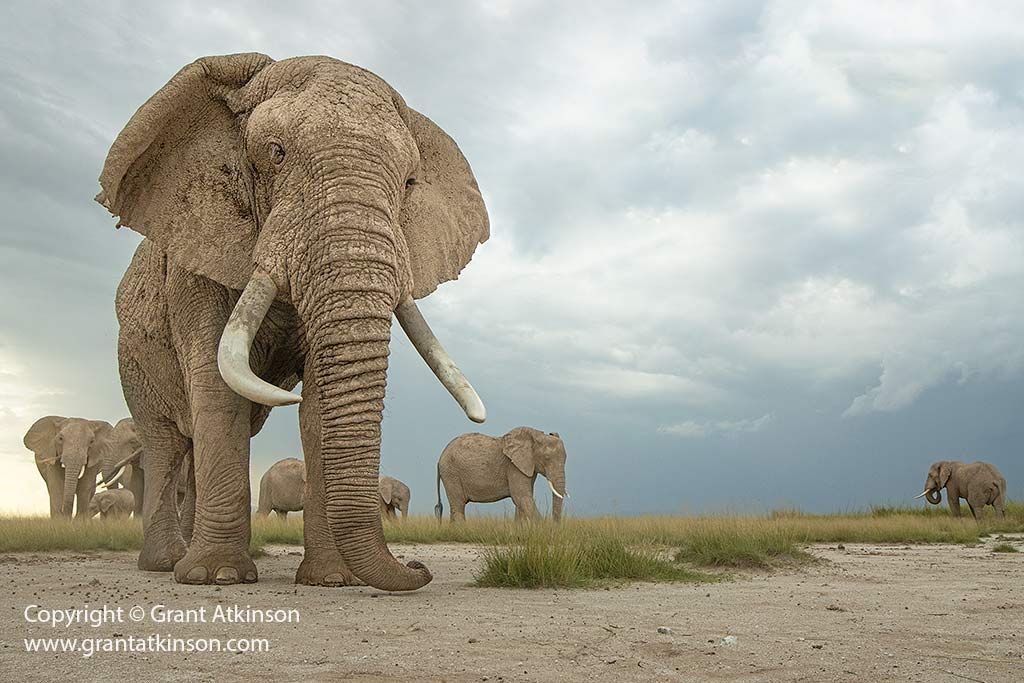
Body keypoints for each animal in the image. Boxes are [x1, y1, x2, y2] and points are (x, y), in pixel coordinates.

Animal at [96, 53, 488, 589]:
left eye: (409, 182)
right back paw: (166, 563)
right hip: (130, 359)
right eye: (276, 153)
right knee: (165, 442)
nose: (419, 567)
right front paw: (218, 577)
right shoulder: (192, 263)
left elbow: (318, 402)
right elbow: (215, 383)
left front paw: (332, 580)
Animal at [435, 427, 567, 523]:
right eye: (547, 458)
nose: (555, 526)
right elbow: (522, 497)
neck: (536, 435)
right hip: (451, 473)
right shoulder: (513, 466)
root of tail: (440, 458)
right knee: (458, 505)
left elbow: (521, 500)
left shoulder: (527, 466)